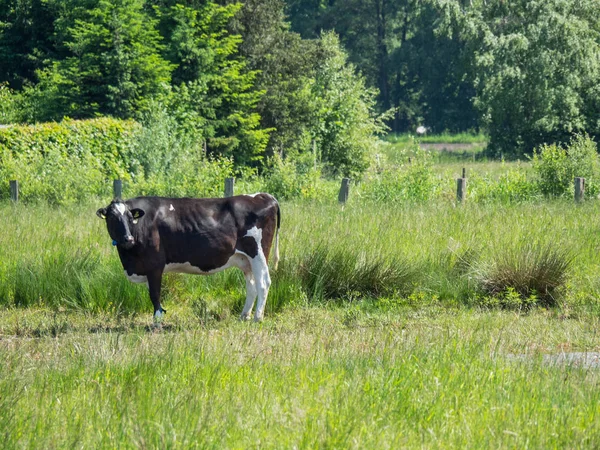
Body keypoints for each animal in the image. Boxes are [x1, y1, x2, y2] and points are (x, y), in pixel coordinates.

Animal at [95, 195, 278, 322]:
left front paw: (157, 321)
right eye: (112, 218)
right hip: (246, 260)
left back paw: (257, 318)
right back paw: (244, 316)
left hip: (258, 254)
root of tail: (264, 196)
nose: (128, 239)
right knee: (252, 286)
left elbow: (155, 294)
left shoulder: (154, 265)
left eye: (129, 217)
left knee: (263, 283)